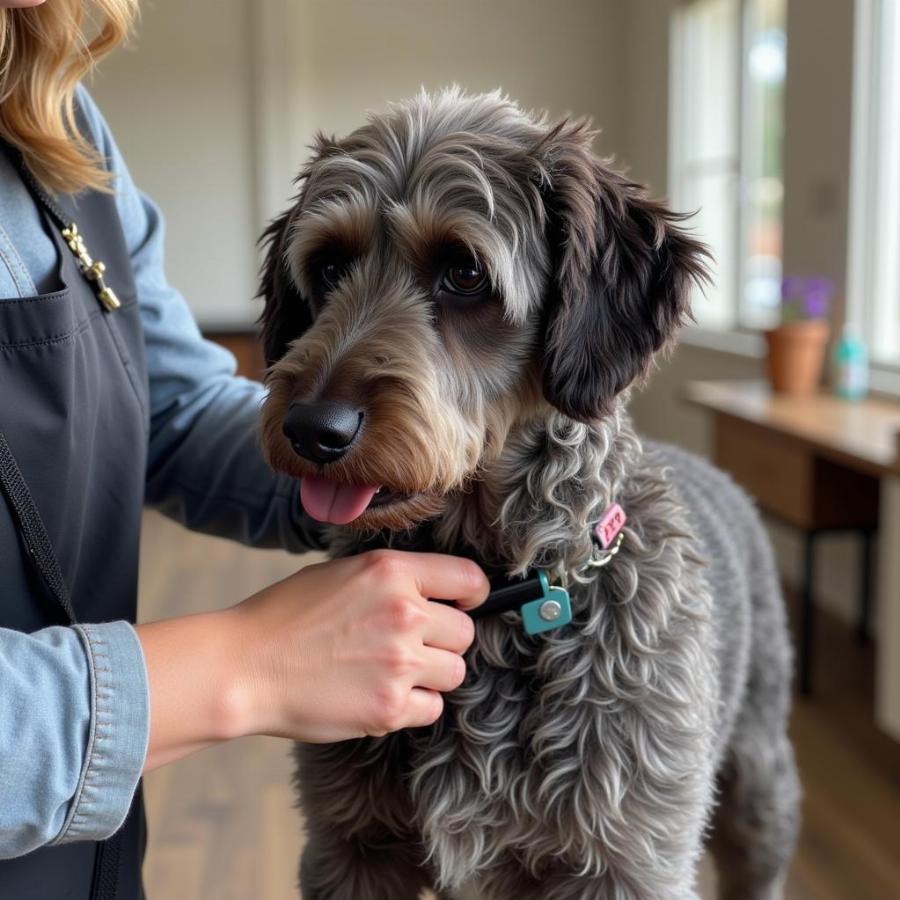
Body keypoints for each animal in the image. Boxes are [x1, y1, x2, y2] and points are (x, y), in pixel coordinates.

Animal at [256, 89, 800, 900]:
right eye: (327, 266)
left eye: (464, 272)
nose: (311, 428)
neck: (500, 597)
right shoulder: (352, 846)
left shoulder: (624, 862)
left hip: (760, 780)